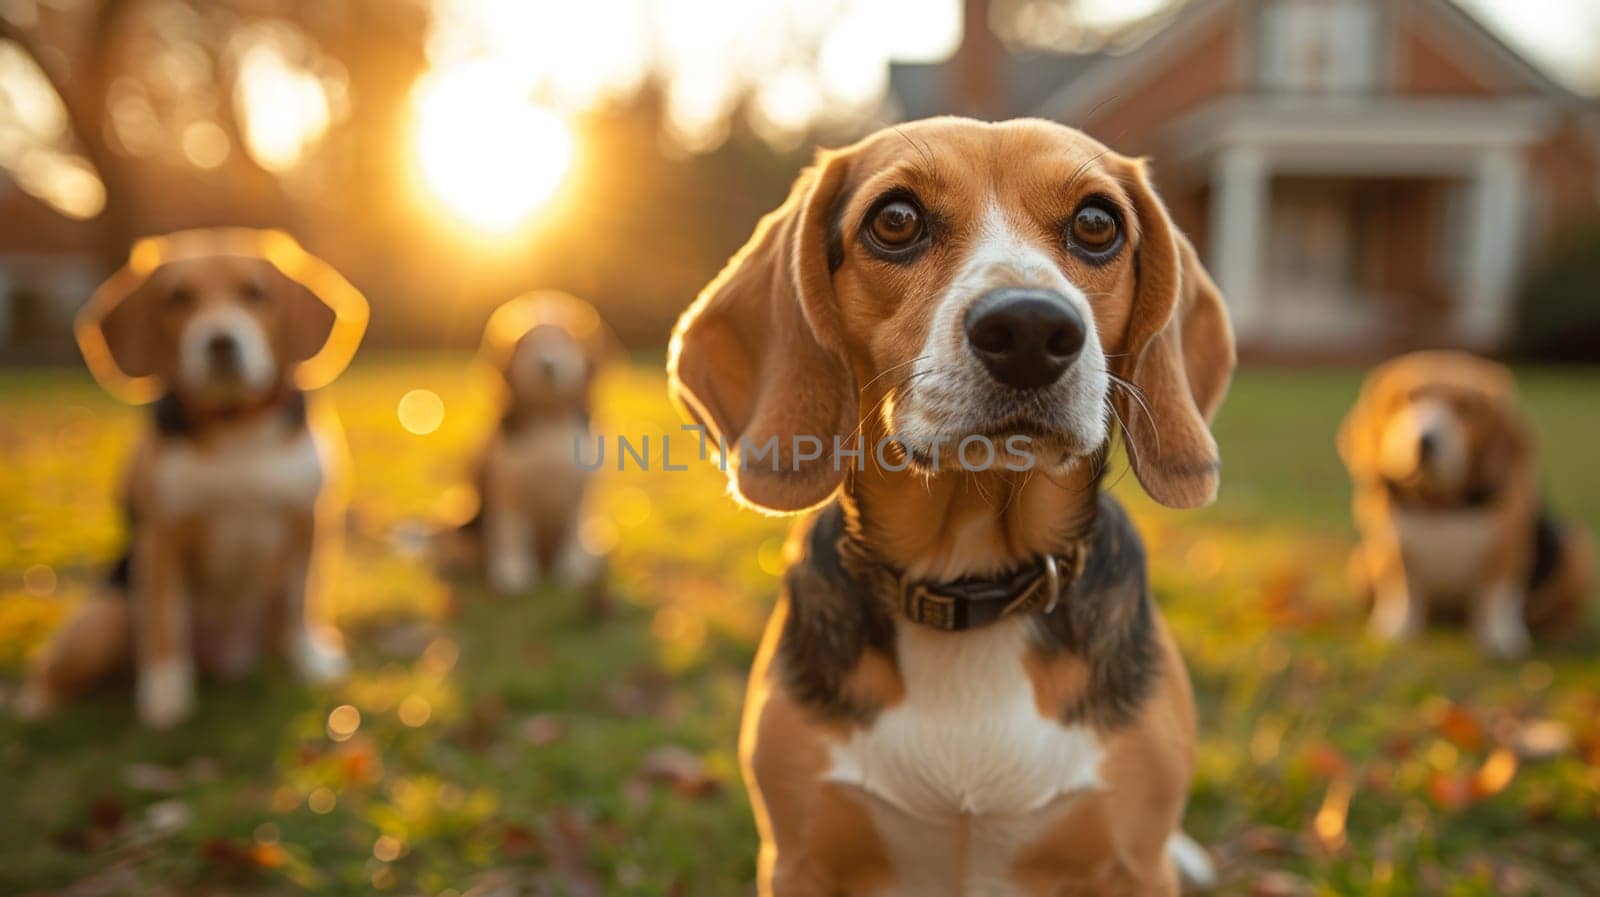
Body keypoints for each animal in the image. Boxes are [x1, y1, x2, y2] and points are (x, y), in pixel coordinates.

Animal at [18, 225, 368, 729]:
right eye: (178, 298)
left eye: (254, 293)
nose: (220, 343)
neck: (234, 427)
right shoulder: (161, 538)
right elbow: (166, 624)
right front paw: (166, 697)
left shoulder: (309, 523)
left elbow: (303, 603)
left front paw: (312, 661)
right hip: (105, 619)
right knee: (50, 675)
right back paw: (36, 707)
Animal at [460, 292, 614, 594]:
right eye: (528, 343)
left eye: (564, 340)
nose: (547, 365)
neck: (548, 418)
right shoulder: (507, 490)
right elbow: (512, 533)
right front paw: (512, 573)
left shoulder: (581, 491)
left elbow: (573, 533)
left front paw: (573, 570)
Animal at [668, 119, 1228, 895]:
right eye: (896, 219)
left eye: (1096, 223)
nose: (1030, 329)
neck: (970, 585)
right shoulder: (798, 861)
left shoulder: (1135, 867)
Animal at [1337, 351, 1587, 658]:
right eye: (1404, 399)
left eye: (1465, 409)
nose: (1426, 441)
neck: (1442, 502)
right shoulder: (1390, 547)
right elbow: (1402, 589)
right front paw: (1398, 630)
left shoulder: (1507, 550)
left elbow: (1498, 596)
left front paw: (1500, 640)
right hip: (1359, 563)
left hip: (1577, 549)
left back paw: (1562, 630)